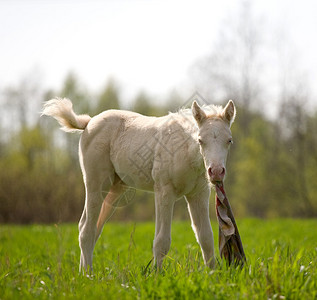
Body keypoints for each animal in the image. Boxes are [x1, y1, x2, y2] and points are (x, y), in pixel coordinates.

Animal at [42, 98, 235, 272]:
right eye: (200, 140)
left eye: (229, 140)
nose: (216, 172)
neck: (185, 150)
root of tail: (89, 122)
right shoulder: (164, 192)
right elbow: (162, 241)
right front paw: (158, 277)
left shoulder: (198, 194)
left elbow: (206, 238)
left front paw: (212, 276)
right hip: (96, 183)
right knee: (86, 230)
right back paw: (88, 275)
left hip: (117, 188)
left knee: (92, 227)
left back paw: (83, 272)